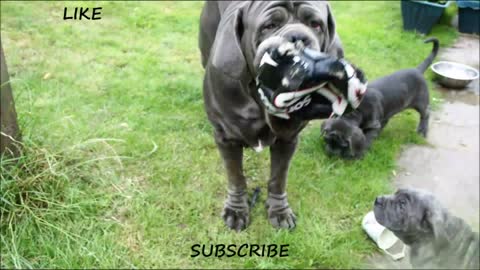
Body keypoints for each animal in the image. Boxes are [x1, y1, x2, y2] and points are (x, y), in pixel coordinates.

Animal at [199, 1, 344, 231]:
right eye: (269, 26)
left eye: (315, 24)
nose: (297, 38)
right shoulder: (226, 138)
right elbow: (236, 176)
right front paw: (236, 210)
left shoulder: (288, 140)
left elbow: (278, 177)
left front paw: (279, 211)